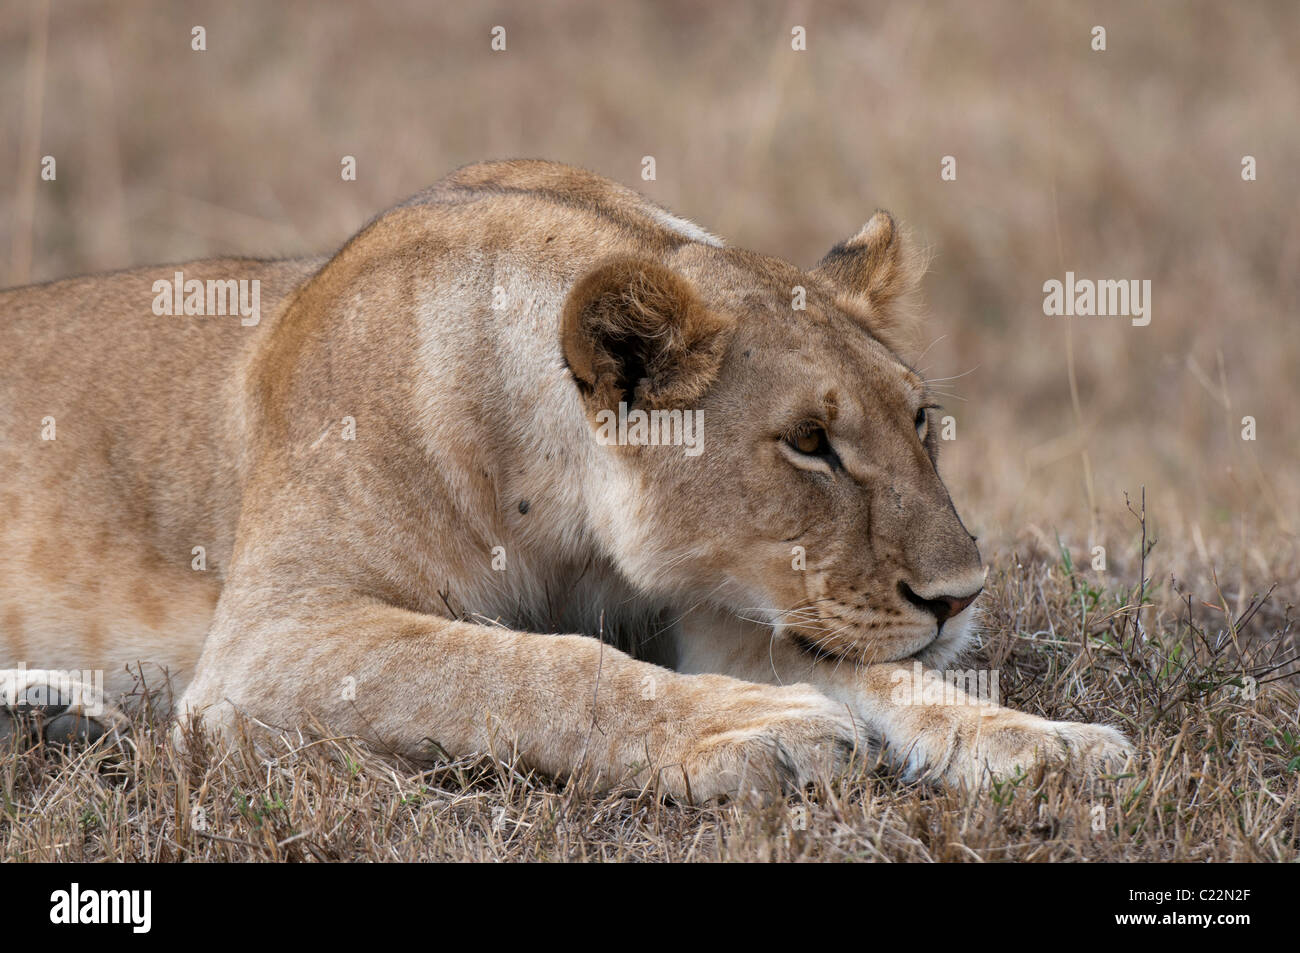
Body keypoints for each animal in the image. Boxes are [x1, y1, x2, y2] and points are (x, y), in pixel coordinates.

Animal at [0, 160, 1130, 798]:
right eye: (810, 441)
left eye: (920, 420)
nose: (960, 598)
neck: (567, 520)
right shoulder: (272, 640)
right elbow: (527, 668)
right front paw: (760, 729)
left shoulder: (725, 612)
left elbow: (892, 678)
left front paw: (1048, 741)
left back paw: (54, 715)